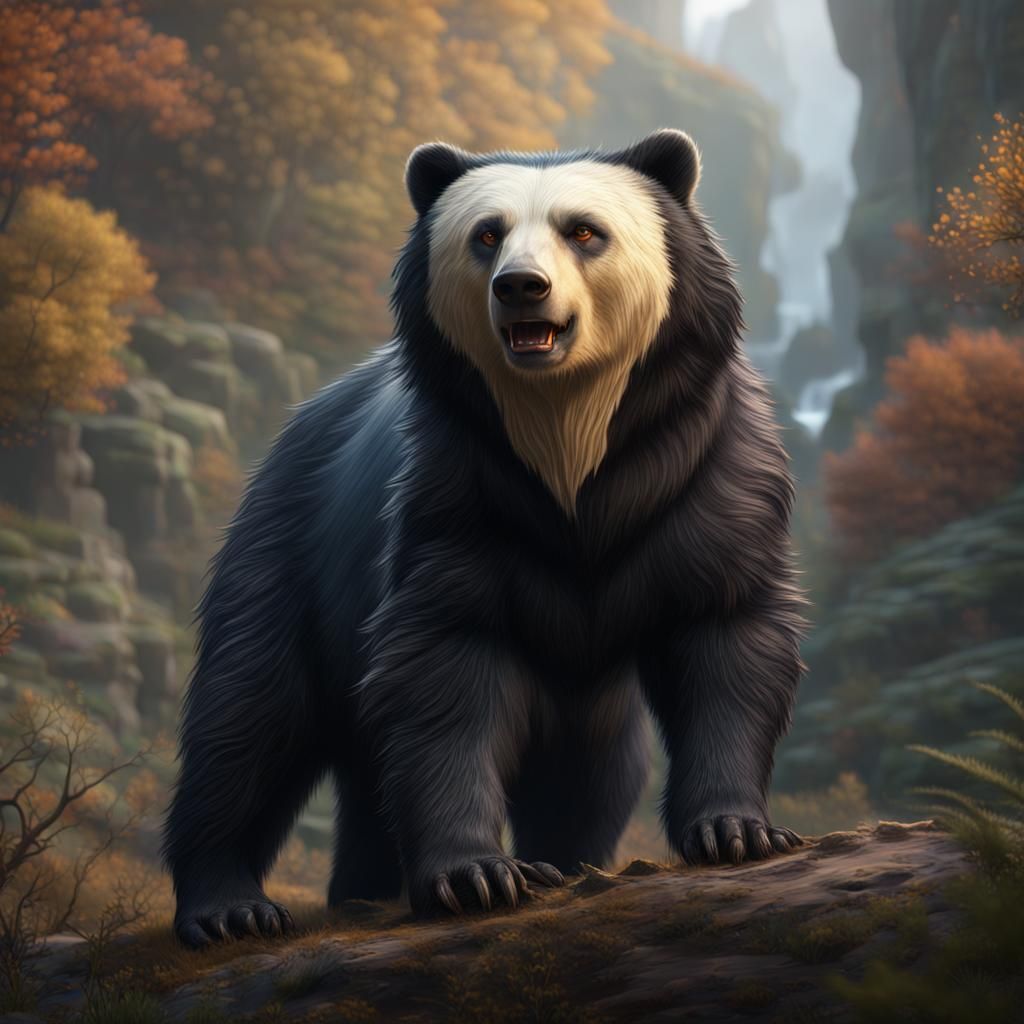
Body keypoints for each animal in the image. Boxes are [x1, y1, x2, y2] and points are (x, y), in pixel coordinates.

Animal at [163, 128, 806, 948]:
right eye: (487, 234)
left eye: (584, 231)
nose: (521, 287)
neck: (569, 450)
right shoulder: (455, 500)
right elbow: (444, 668)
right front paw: (476, 875)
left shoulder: (702, 475)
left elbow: (725, 631)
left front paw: (737, 831)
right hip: (289, 547)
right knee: (250, 712)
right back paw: (232, 905)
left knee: (592, 765)